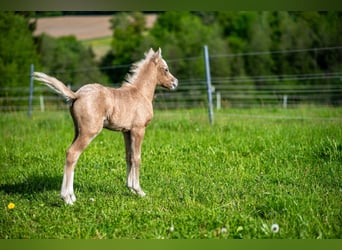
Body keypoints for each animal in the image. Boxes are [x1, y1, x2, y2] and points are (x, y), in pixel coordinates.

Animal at [33, 47, 179, 204]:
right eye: (166, 69)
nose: (175, 83)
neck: (140, 93)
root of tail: (76, 95)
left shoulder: (126, 131)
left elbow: (129, 156)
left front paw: (130, 188)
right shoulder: (138, 129)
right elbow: (137, 157)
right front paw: (139, 190)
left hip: (78, 130)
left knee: (71, 155)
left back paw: (72, 196)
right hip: (89, 132)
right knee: (72, 153)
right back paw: (67, 198)